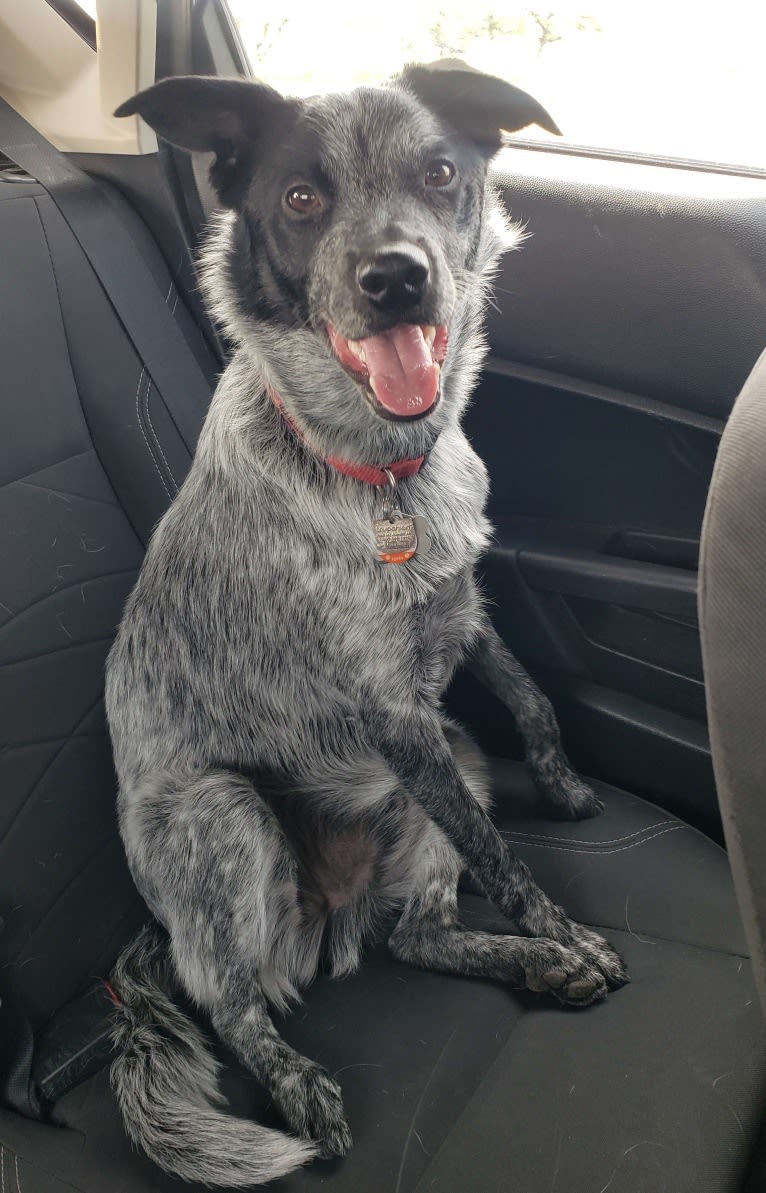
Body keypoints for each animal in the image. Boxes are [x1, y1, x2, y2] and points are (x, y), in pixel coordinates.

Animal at [102, 60, 625, 1188]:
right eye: (301, 198)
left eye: (440, 173)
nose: (396, 277)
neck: (381, 470)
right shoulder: (393, 714)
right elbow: (502, 857)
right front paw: (569, 930)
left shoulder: (462, 613)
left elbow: (531, 697)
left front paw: (561, 793)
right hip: (227, 816)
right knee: (232, 1002)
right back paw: (302, 1086)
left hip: (447, 765)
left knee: (414, 937)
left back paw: (532, 967)